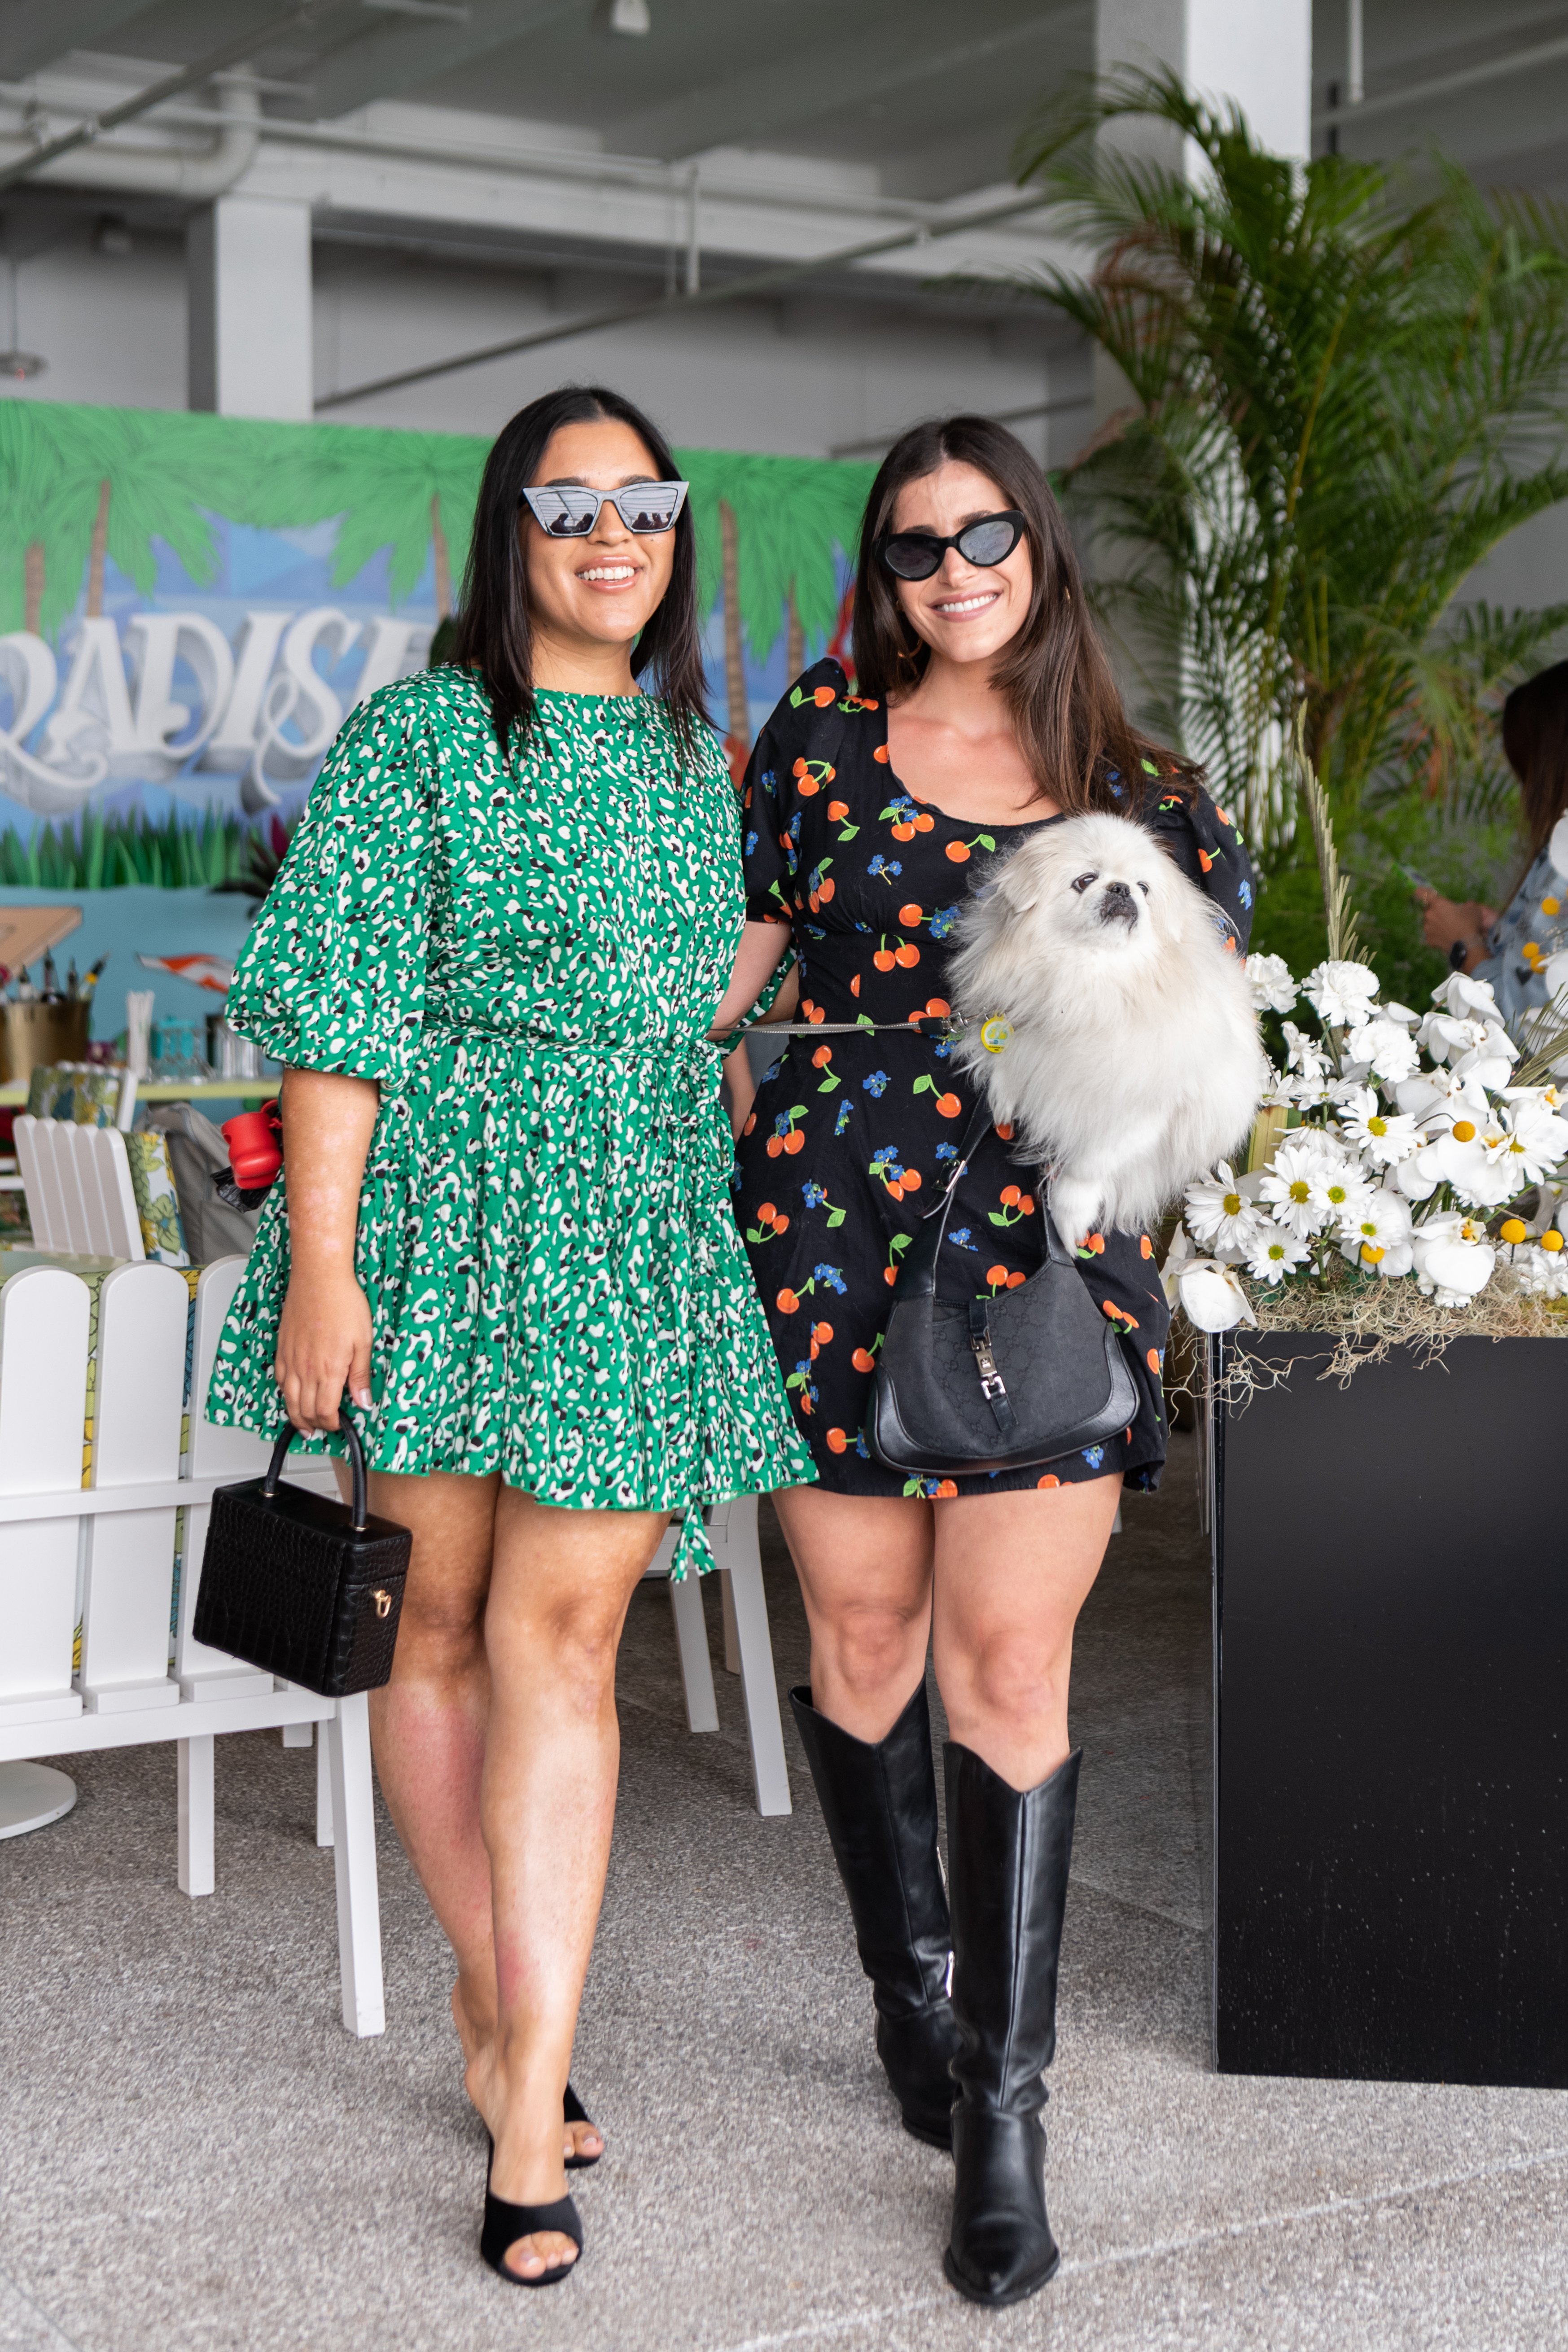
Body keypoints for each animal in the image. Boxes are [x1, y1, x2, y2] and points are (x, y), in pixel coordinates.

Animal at [945, 809, 1260, 1251]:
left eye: (1144, 888)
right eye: (1085, 880)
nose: (1122, 888)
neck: (1088, 982)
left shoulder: (1139, 1110)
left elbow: (1087, 1167)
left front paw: (1068, 1221)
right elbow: (1007, 1066)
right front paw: (1003, 1098)